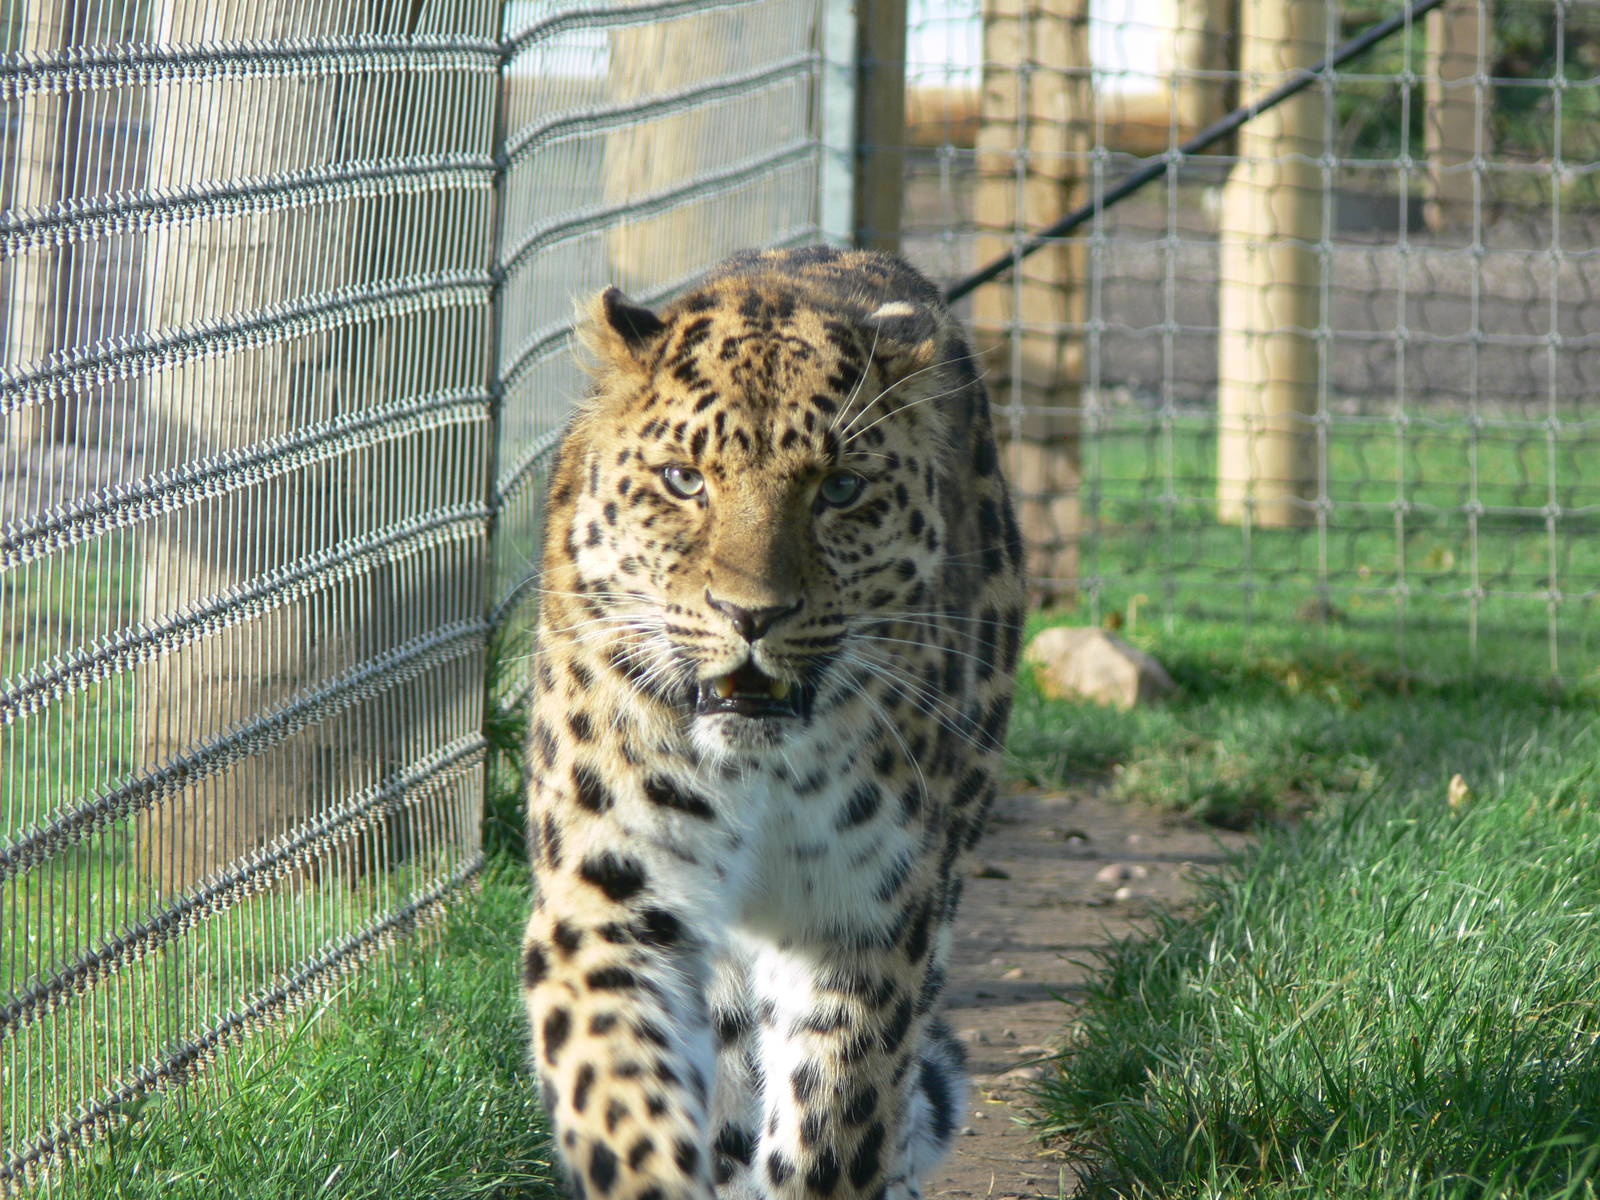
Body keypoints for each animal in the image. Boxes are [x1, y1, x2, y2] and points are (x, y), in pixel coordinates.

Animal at [519, 245, 1025, 1200]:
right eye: (684, 481)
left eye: (841, 488)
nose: (751, 615)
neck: (763, 773)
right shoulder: (608, 901)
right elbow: (622, 1099)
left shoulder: (867, 922)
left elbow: (837, 1122)